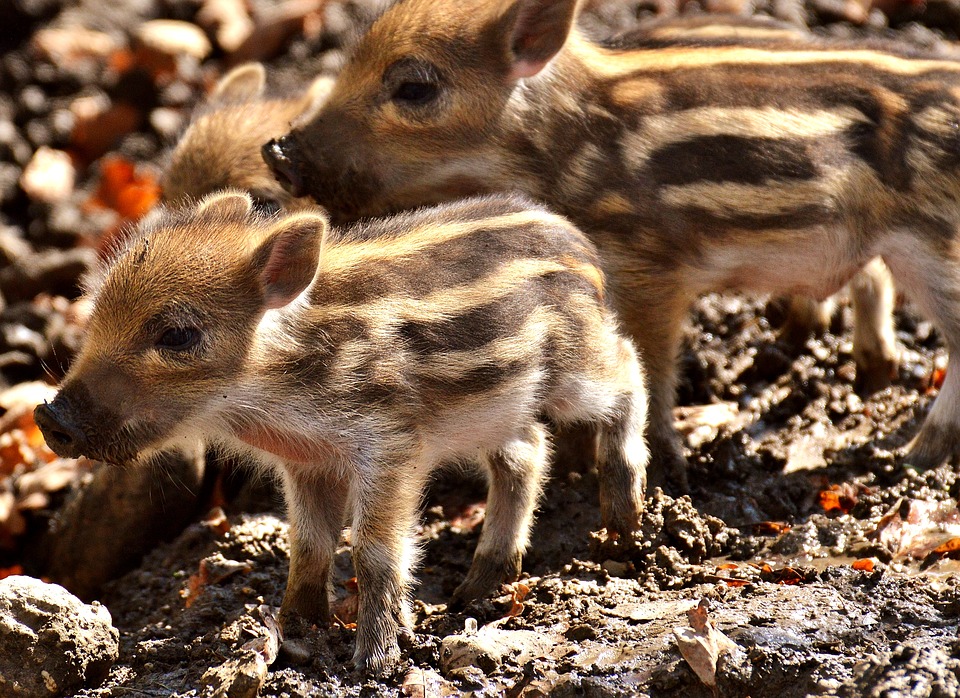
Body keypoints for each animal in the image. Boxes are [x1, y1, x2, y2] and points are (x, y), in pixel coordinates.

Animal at [34, 190, 648, 674]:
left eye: (179, 336)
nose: (49, 418)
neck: (272, 386)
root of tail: (579, 240)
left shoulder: (391, 445)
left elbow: (375, 550)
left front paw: (373, 661)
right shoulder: (309, 461)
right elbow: (308, 546)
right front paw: (297, 629)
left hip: (575, 370)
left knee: (626, 366)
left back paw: (625, 517)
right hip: (499, 411)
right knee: (527, 453)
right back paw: (477, 586)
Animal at [263, 0, 960, 491]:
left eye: (414, 87)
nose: (280, 151)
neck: (563, 149)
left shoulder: (648, 268)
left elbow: (648, 364)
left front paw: (663, 469)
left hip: (937, 249)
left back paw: (908, 455)